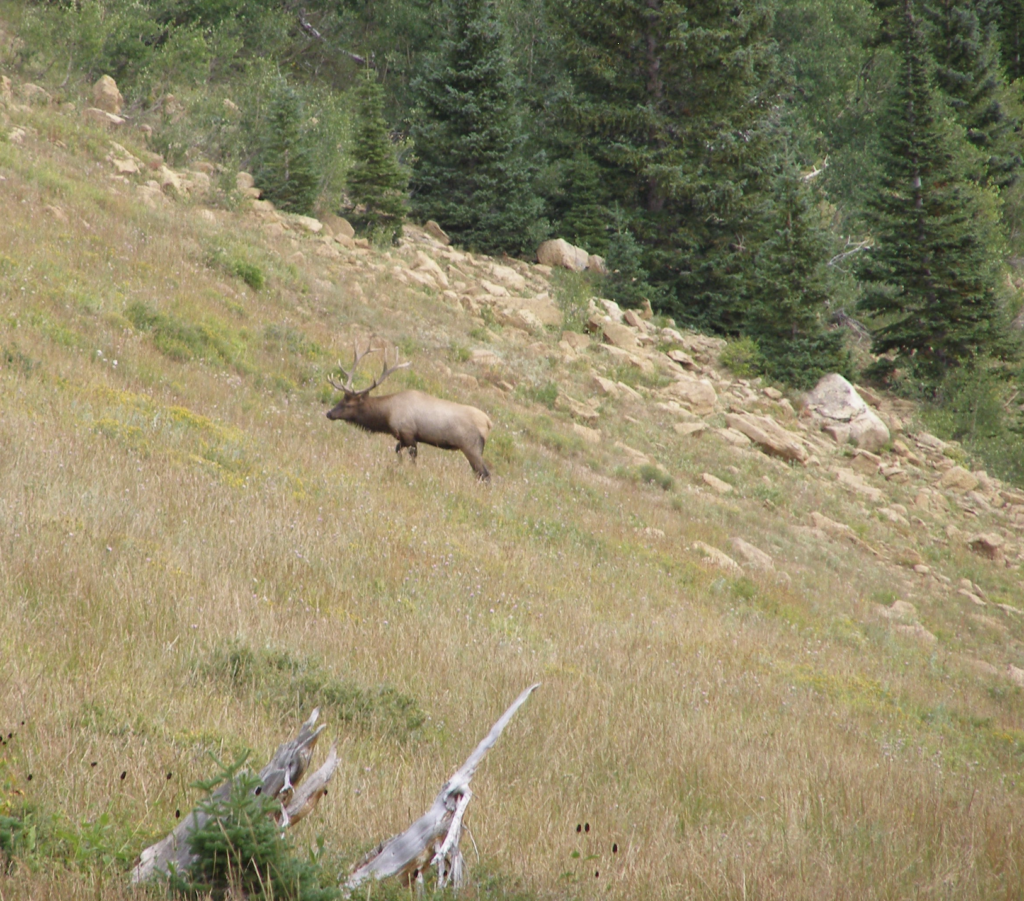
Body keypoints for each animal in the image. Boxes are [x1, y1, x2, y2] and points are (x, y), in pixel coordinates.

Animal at [326, 344, 493, 480]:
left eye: (348, 404)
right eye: (341, 400)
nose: (329, 413)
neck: (387, 416)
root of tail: (488, 422)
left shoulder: (408, 434)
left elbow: (411, 458)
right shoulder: (404, 437)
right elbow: (397, 451)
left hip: (471, 448)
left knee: (485, 474)